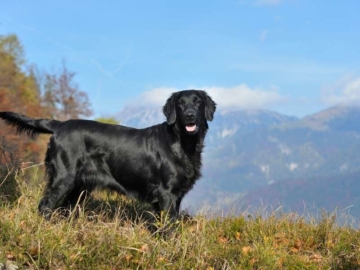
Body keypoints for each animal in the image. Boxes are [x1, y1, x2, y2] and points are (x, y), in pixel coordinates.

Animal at [0, 89, 217, 220]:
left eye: (197, 102)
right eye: (180, 104)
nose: (189, 115)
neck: (183, 143)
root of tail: (60, 125)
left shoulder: (176, 195)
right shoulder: (167, 193)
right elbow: (168, 226)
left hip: (79, 188)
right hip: (63, 178)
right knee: (45, 205)